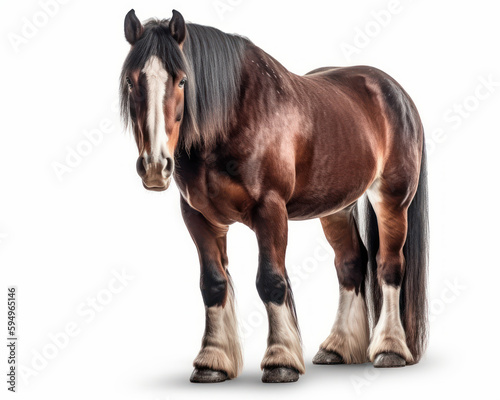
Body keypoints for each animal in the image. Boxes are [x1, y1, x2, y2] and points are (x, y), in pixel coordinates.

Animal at [120, 9, 430, 384]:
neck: (233, 115)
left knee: (388, 266)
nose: (155, 165)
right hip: (336, 208)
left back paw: (390, 349)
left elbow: (271, 281)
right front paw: (212, 362)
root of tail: (394, 91)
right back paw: (338, 347)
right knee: (351, 264)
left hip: (392, 200)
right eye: (131, 82)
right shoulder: (199, 217)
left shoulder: (270, 210)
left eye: (181, 81)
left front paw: (280, 360)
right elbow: (213, 284)